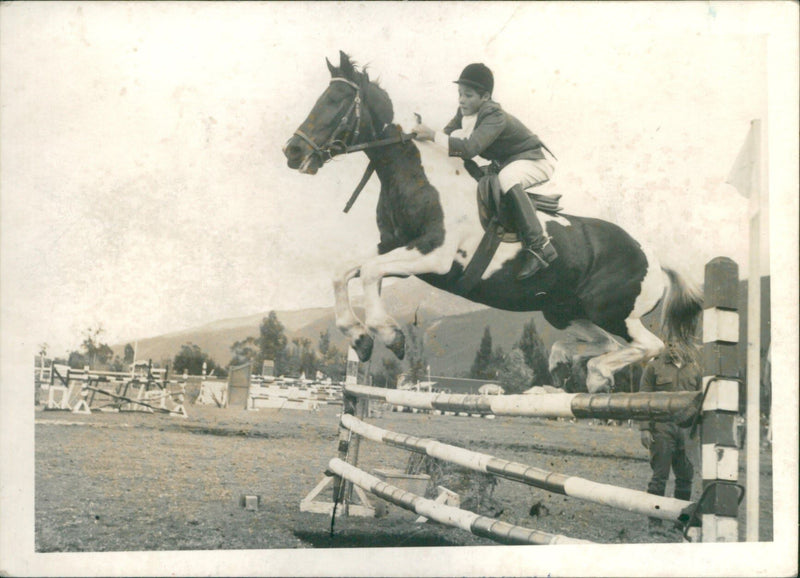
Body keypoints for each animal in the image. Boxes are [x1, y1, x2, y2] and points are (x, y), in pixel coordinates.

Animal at [282, 51, 700, 392]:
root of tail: (654, 259)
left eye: (335, 101)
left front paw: (389, 335)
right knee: (603, 342)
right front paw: (359, 337)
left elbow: (369, 273)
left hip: (614, 311)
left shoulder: (434, 256)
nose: (293, 152)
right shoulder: (396, 249)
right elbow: (344, 272)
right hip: (564, 310)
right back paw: (564, 359)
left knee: (647, 345)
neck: (415, 175)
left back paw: (596, 374)